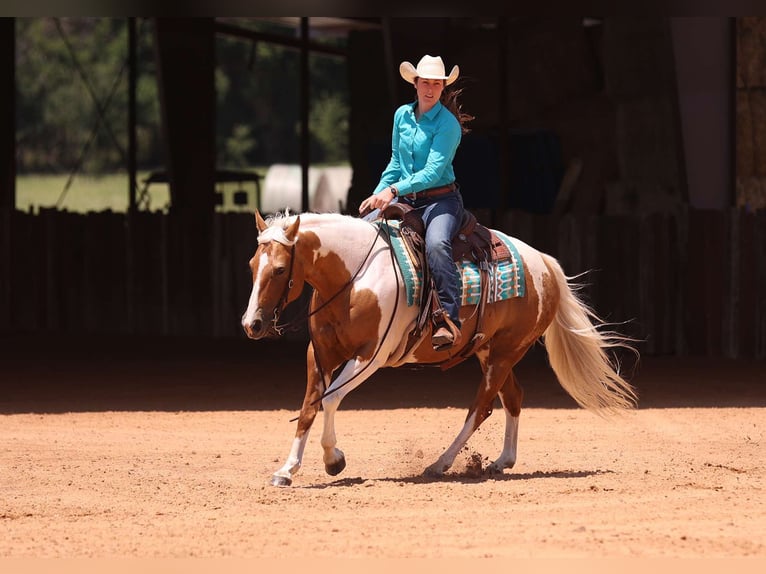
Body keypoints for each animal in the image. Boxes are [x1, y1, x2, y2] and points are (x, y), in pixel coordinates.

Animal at [242, 209, 638, 487]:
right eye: (252, 265)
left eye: (280, 269)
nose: (252, 324)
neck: (355, 275)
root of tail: (544, 263)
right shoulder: (319, 354)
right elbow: (309, 407)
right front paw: (286, 470)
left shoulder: (370, 357)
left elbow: (330, 400)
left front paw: (333, 460)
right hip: (490, 352)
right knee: (513, 397)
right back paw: (503, 461)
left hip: (506, 352)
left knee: (480, 408)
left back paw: (441, 463)